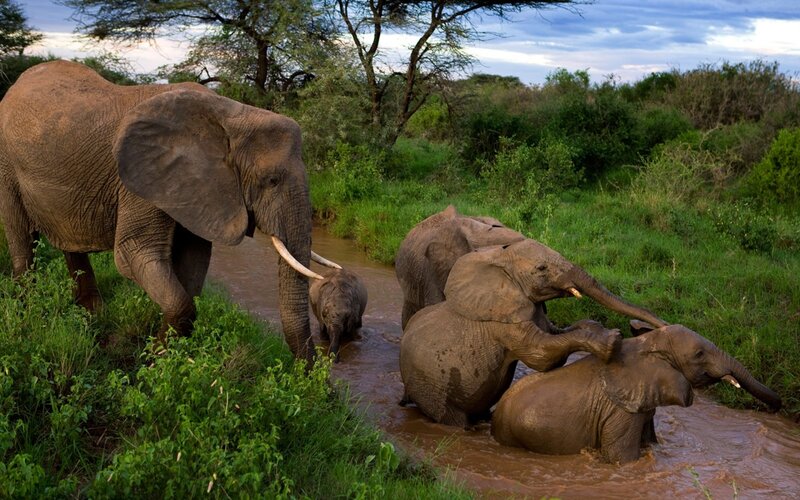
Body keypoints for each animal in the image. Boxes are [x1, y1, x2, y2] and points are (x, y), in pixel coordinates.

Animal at [0, 60, 338, 361]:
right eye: (271, 181)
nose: (313, 377)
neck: (232, 115)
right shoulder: (143, 181)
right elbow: (135, 254)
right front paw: (154, 361)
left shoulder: (196, 189)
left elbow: (193, 263)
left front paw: (163, 356)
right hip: (6, 161)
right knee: (22, 238)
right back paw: (27, 313)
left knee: (70, 243)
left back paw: (92, 315)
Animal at [399, 239, 668, 427]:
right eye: (541, 268)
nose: (664, 325)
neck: (500, 259)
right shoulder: (503, 320)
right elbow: (541, 355)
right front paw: (612, 341)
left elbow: (557, 332)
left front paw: (597, 328)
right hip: (432, 388)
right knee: (451, 418)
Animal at [491, 324, 782, 464]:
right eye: (699, 354)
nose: (777, 407)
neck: (648, 343)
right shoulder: (620, 410)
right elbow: (622, 458)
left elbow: (650, 443)